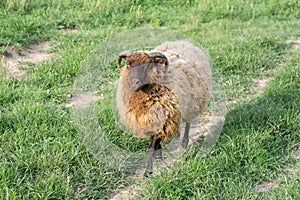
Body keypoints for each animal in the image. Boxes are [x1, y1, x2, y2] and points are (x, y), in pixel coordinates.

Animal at [115, 41, 211, 177]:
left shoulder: (162, 119)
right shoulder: (150, 121)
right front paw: (159, 157)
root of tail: (185, 42)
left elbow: (151, 148)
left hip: (191, 102)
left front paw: (148, 171)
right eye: (128, 64)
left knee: (188, 122)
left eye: (148, 65)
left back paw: (184, 142)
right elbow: (155, 143)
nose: (135, 82)